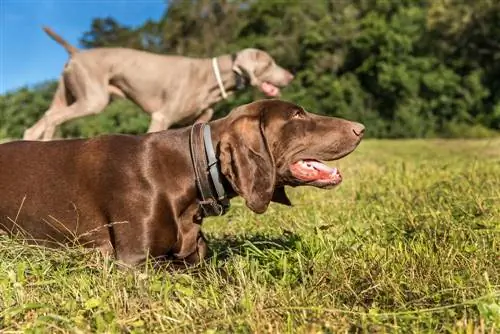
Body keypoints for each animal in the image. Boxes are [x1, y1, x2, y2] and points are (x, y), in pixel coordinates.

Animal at [23, 26, 294, 140]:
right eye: (270, 63)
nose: (290, 76)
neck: (213, 76)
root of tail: (76, 52)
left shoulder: (196, 121)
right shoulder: (161, 117)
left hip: (66, 95)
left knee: (35, 125)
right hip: (93, 99)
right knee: (52, 120)